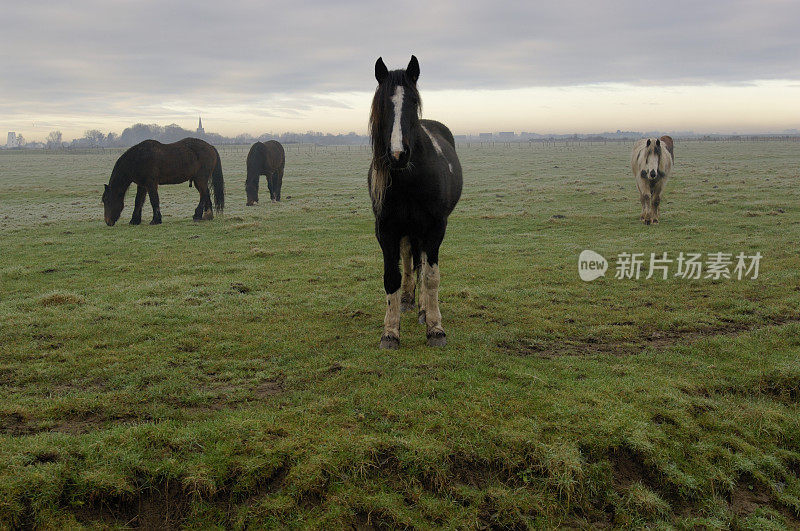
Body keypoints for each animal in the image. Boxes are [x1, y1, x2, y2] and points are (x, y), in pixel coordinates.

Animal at [368, 56, 462, 352]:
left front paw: (435, 328)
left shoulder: (435, 228)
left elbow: (431, 277)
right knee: (409, 263)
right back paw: (409, 302)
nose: (398, 154)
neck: (408, 177)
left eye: (412, 101)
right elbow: (392, 277)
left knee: (421, 266)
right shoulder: (386, 230)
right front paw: (390, 332)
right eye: (383, 103)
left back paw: (422, 310)